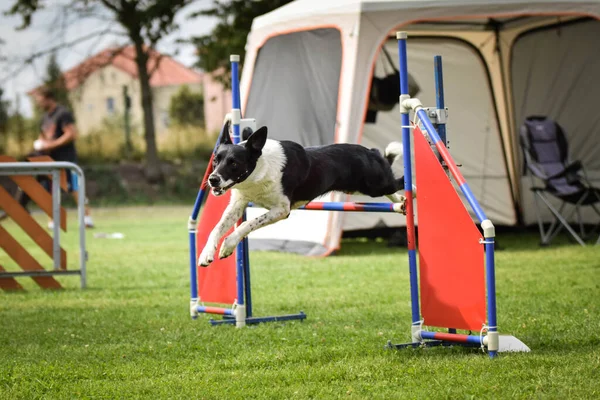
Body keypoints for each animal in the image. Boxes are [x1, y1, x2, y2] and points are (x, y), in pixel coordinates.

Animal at [197, 120, 408, 268]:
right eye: (216, 160)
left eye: (233, 163)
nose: (213, 179)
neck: (259, 170)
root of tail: (370, 152)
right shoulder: (239, 203)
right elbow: (216, 228)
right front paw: (206, 254)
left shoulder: (282, 210)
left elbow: (246, 225)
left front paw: (228, 245)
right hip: (361, 188)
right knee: (393, 188)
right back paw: (401, 203)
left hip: (375, 185)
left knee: (399, 181)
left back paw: (408, 196)